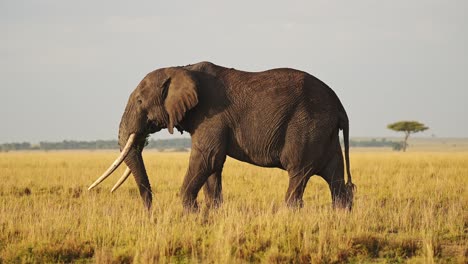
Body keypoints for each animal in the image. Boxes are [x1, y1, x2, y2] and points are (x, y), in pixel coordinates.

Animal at [88, 61, 354, 210]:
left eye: (140, 101)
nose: (149, 211)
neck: (182, 69)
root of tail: (340, 105)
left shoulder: (212, 115)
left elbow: (208, 158)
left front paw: (190, 212)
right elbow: (213, 167)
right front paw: (211, 213)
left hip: (307, 127)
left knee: (298, 172)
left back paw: (290, 213)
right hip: (324, 132)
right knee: (336, 178)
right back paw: (341, 216)